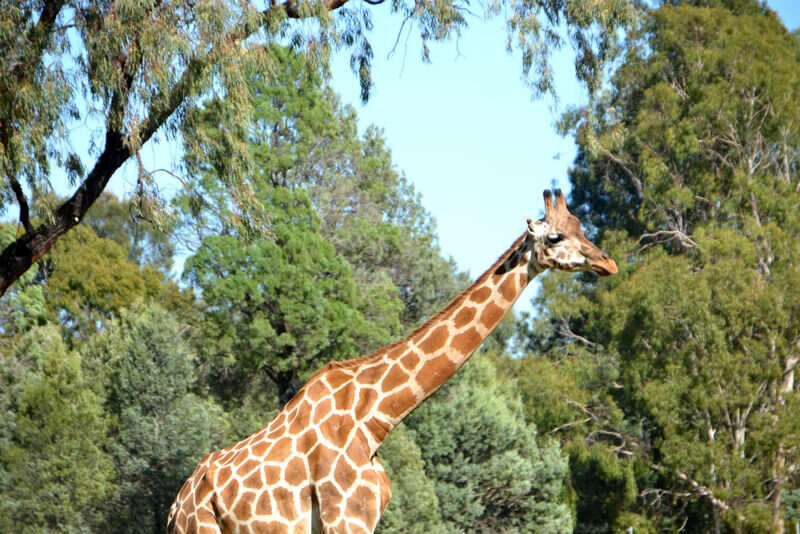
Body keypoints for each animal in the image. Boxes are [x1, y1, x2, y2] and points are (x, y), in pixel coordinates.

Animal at [167, 189, 617, 534]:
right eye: (555, 236)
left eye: (582, 229)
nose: (608, 263)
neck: (376, 417)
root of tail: (176, 507)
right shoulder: (346, 519)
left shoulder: (364, 519)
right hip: (200, 530)